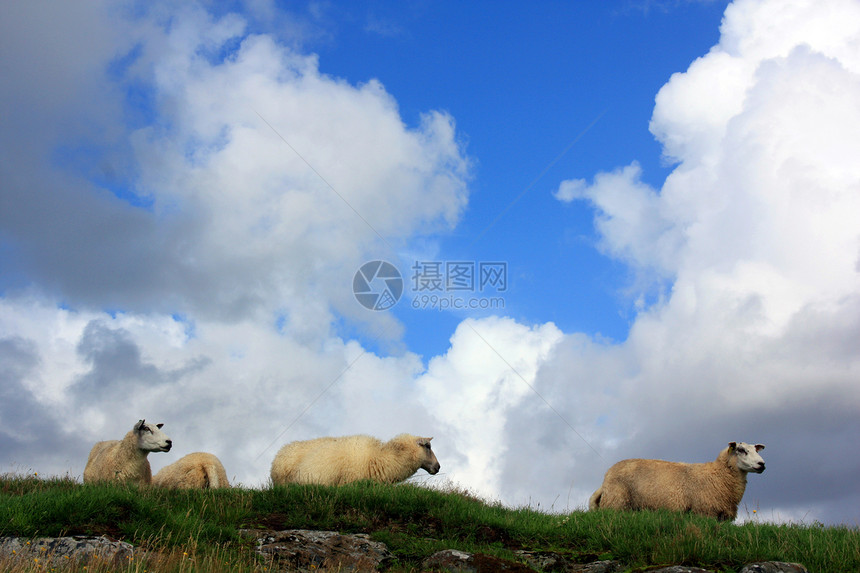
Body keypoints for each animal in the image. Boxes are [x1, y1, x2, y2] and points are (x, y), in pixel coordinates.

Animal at [592, 440, 764, 520]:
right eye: (741, 450)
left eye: (756, 450)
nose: (762, 464)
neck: (718, 474)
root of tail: (605, 480)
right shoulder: (704, 512)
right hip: (616, 504)